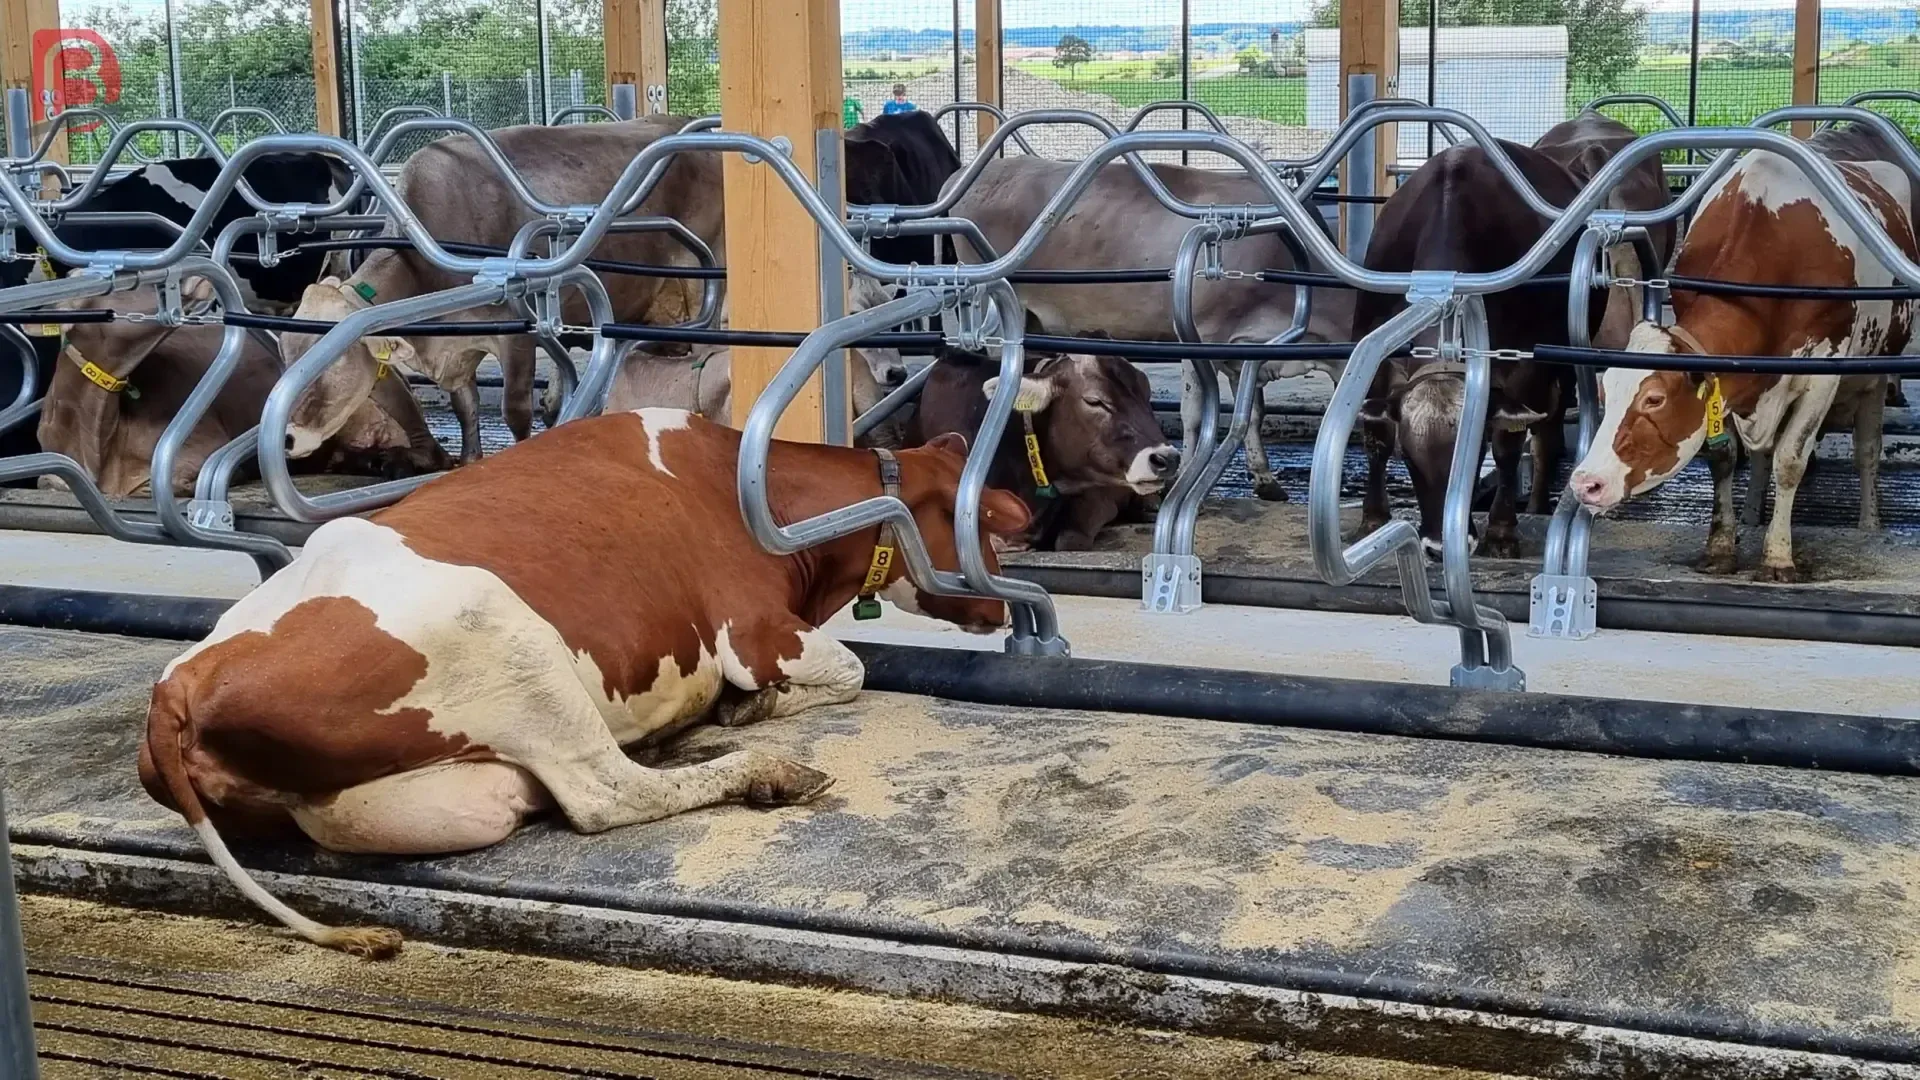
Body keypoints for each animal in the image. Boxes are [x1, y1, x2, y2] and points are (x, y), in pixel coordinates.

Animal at [140, 408, 1033, 956]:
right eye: (990, 530)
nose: (999, 607)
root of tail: (180, 687)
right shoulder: (752, 631)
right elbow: (849, 668)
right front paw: (759, 707)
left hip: (408, 797)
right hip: (514, 639)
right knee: (607, 793)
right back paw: (763, 771)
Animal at [282, 117, 728, 467]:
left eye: (334, 361)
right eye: (285, 353)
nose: (287, 438)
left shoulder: (517, 333)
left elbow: (514, 410)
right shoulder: (456, 349)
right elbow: (466, 407)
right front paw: (469, 459)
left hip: (703, 279)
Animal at [949, 155, 1351, 504]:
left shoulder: (1248, 350)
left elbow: (1252, 412)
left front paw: (1266, 480)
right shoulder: (1199, 335)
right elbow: (1195, 412)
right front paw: (1185, 476)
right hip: (1000, 311)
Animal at [1353, 114, 1672, 559]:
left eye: (1474, 457)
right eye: (1410, 457)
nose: (1439, 548)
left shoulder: (1524, 368)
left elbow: (1508, 446)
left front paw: (1502, 531)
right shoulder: (1377, 351)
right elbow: (1375, 436)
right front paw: (1372, 519)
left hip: (1561, 361)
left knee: (1547, 435)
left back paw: (1537, 506)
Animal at [1567, 124, 1917, 582]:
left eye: (1654, 399)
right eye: (1605, 394)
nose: (1585, 482)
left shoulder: (1823, 374)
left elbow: (1790, 459)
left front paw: (1778, 556)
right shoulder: (1730, 381)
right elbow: (1726, 457)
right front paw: (1720, 545)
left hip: (1873, 373)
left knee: (1867, 451)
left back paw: (1869, 524)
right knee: (1763, 454)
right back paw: (1752, 514)